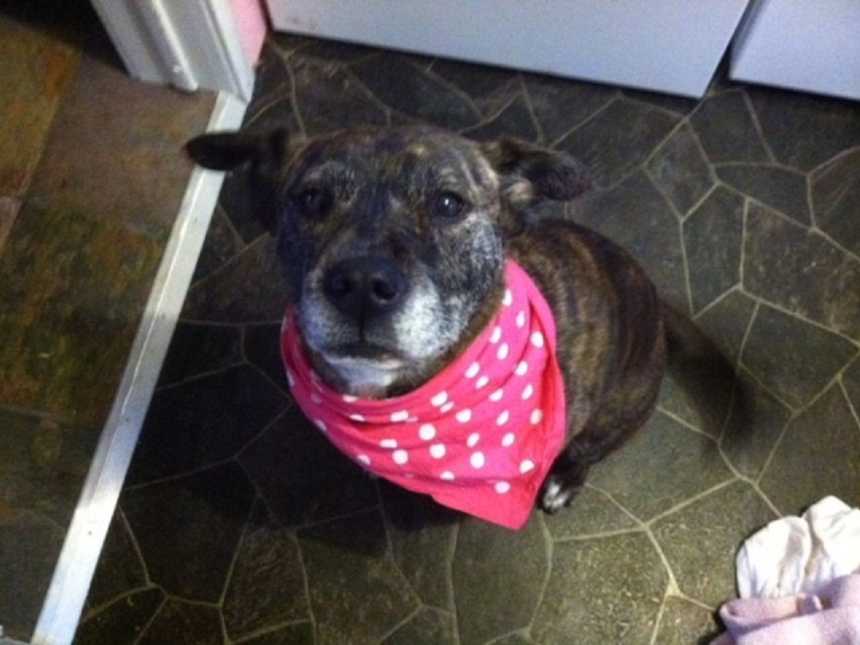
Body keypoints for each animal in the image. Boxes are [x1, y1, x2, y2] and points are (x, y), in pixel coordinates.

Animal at [185, 127, 672, 524]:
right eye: (311, 199)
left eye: (448, 203)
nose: (362, 283)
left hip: (612, 413)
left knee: (588, 450)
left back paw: (563, 481)